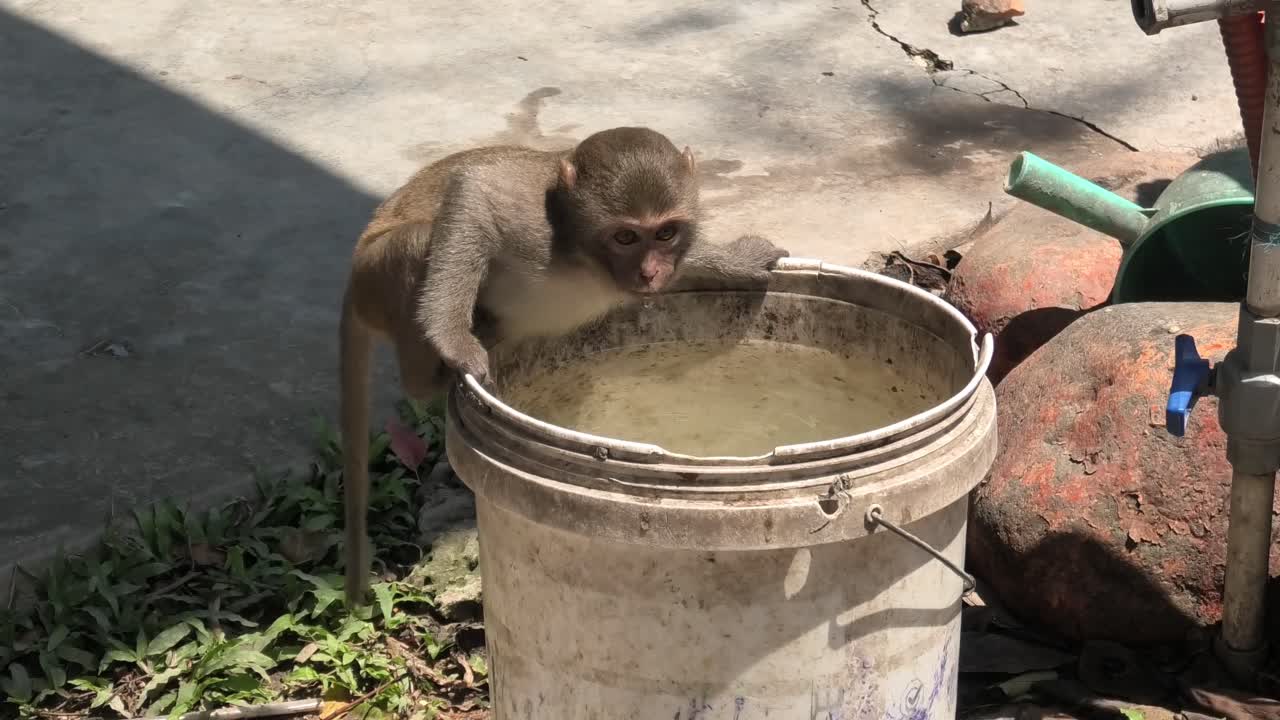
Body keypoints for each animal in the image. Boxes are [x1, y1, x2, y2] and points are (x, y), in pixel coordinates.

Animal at [340, 126, 789, 605]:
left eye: (666, 233)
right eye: (626, 237)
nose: (650, 273)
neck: (585, 256)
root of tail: (355, 277)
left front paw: (738, 260)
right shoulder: (534, 225)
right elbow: (473, 192)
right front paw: (451, 338)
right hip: (376, 273)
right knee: (422, 237)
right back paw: (435, 371)